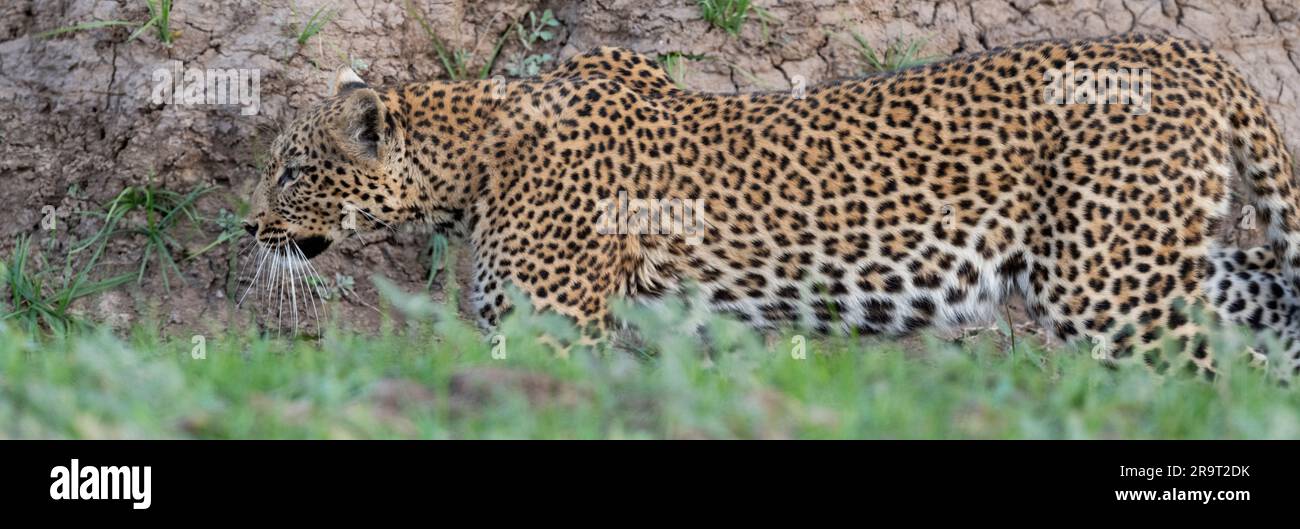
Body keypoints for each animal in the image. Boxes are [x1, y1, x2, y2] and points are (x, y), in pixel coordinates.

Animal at [244, 33, 1300, 377]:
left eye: (292, 169)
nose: (250, 228)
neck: (473, 165)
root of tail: (1191, 52)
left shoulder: (553, 326)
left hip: (1108, 285)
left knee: (1205, 376)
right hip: (1173, 261)